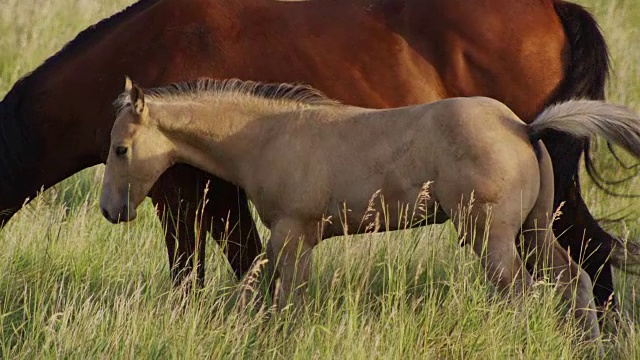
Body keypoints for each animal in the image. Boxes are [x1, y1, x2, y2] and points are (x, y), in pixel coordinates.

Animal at [99, 76, 640, 352]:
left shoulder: (290, 235)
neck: (267, 137)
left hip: (492, 237)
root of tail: (522, 126)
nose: (110, 210)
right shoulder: (298, 241)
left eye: (121, 149)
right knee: (574, 280)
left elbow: (283, 301)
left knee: (525, 294)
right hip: (533, 230)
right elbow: (284, 299)